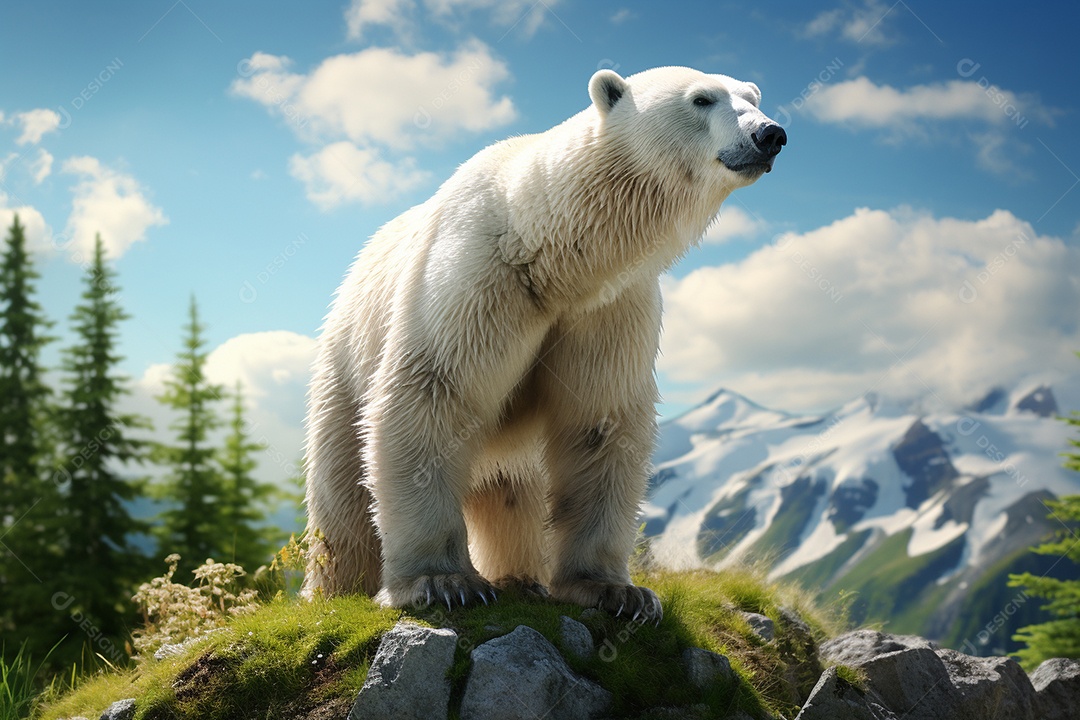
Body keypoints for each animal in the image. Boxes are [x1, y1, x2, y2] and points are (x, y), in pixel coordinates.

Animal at [303, 66, 785, 620]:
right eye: (702, 99)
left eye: (753, 97)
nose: (770, 134)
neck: (549, 253)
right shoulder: (477, 277)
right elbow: (435, 391)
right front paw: (443, 581)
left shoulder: (609, 309)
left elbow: (599, 424)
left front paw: (616, 591)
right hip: (345, 361)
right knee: (343, 488)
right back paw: (337, 587)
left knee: (512, 492)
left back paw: (519, 577)